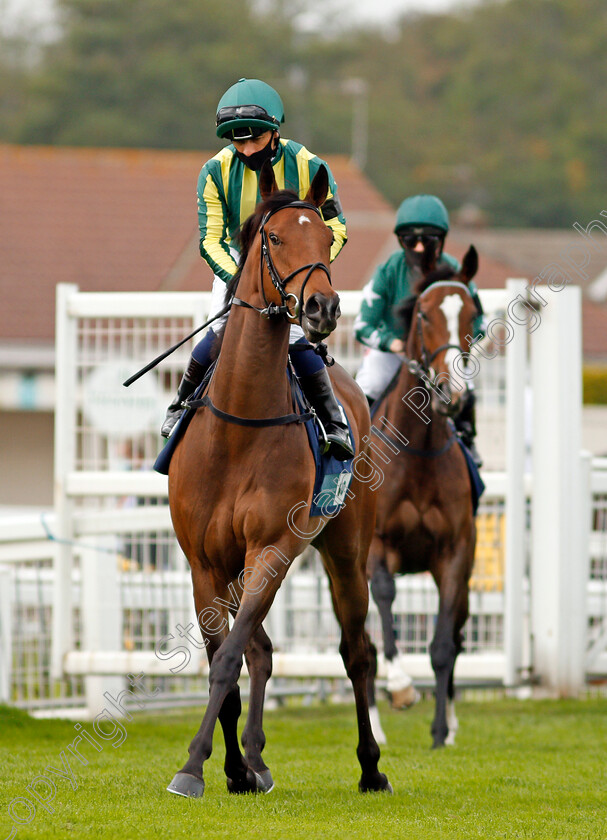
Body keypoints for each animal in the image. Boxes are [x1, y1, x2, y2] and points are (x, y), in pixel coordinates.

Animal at [169, 164, 392, 800]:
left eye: (323, 237)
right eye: (273, 238)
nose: (322, 307)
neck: (239, 425)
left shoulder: (271, 546)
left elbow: (228, 658)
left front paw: (194, 767)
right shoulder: (203, 562)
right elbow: (226, 655)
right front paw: (231, 767)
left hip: (344, 548)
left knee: (356, 650)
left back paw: (371, 766)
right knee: (263, 651)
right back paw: (254, 760)